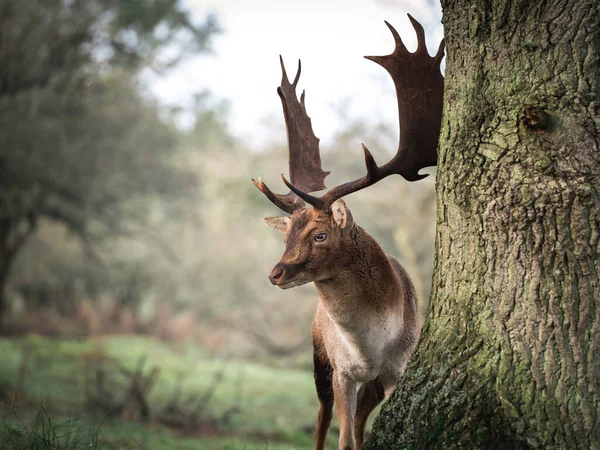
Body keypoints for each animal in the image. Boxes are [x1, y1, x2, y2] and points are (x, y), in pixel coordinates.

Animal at [251, 14, 442, 450]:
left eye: (320, 235)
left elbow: (359, 431)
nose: (275, 273)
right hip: (318, 356)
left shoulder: (397, 370)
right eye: (286, 235)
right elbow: (345, 438)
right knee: (322, 418)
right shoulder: (341, 370)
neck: (372, 348)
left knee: (354, 420)